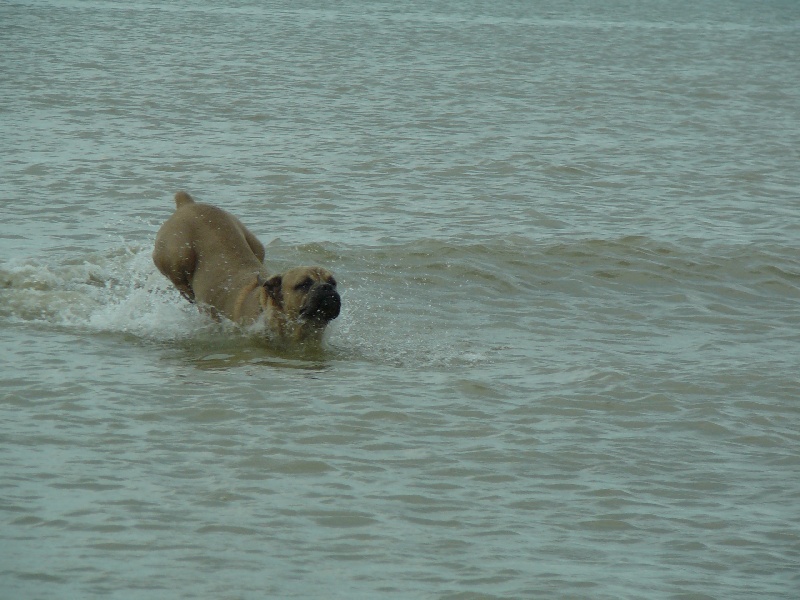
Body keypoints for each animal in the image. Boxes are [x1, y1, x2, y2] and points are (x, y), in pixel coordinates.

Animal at [153, 191, 340, 342]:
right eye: (304, 284)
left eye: (333, 283)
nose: (326, 287)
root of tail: (187, 204)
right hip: (178, 256)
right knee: (182, 284)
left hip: (257, 246)